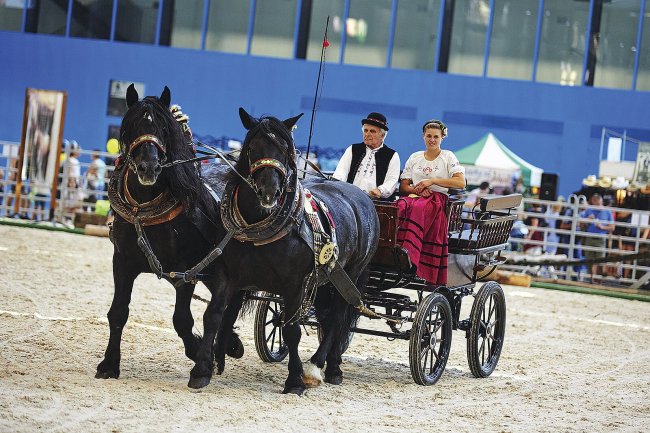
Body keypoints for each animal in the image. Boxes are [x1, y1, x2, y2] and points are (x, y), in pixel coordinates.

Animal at [95, 85, 239, 382]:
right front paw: (109, 363)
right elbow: (118, 312)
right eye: (131, 126)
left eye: (163, 128)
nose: (148, 167)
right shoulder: (122, 262)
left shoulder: (187, 271)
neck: (146, 208)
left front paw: (198, 353)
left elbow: (182, 320)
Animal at [190, 107, 378, 392]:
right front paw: (202, 370)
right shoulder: (227, 276)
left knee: (338, 317)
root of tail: (361, 196)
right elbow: (214, 315)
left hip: (353, 273)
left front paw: (295, 381)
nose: (269, 191)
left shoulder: (295, 285)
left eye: (286, 150)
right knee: (329, 318)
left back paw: (321, 367)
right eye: (252, 147)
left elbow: (292, 330)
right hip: (328, 279)